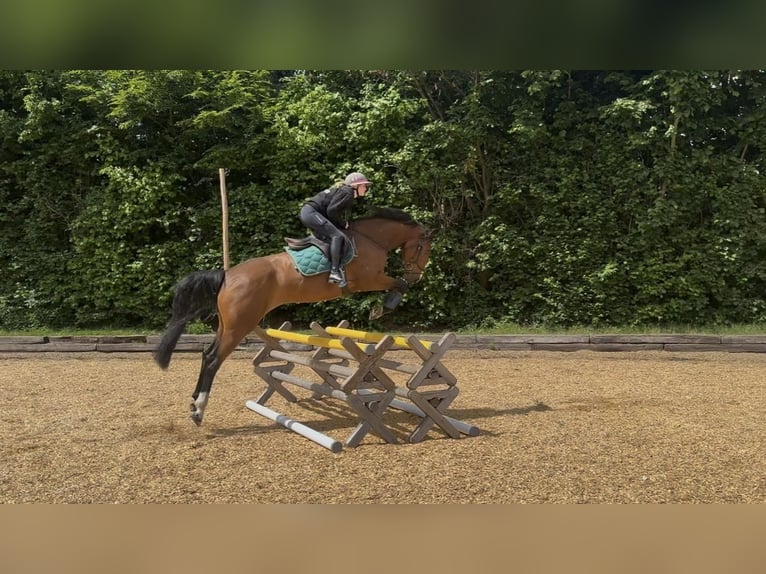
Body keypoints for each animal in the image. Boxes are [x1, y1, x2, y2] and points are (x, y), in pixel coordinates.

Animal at [153, 207, 433, 425]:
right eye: (423, 248)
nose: (416, 277)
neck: (371, 239)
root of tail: (227, 275)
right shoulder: (369, 279)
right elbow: (397, 285)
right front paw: (383, 307)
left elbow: (397, 285)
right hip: (239, 326)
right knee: (213, 359)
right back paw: (199, 410)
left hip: (227, 325)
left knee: (206, 354)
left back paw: (193, 403)